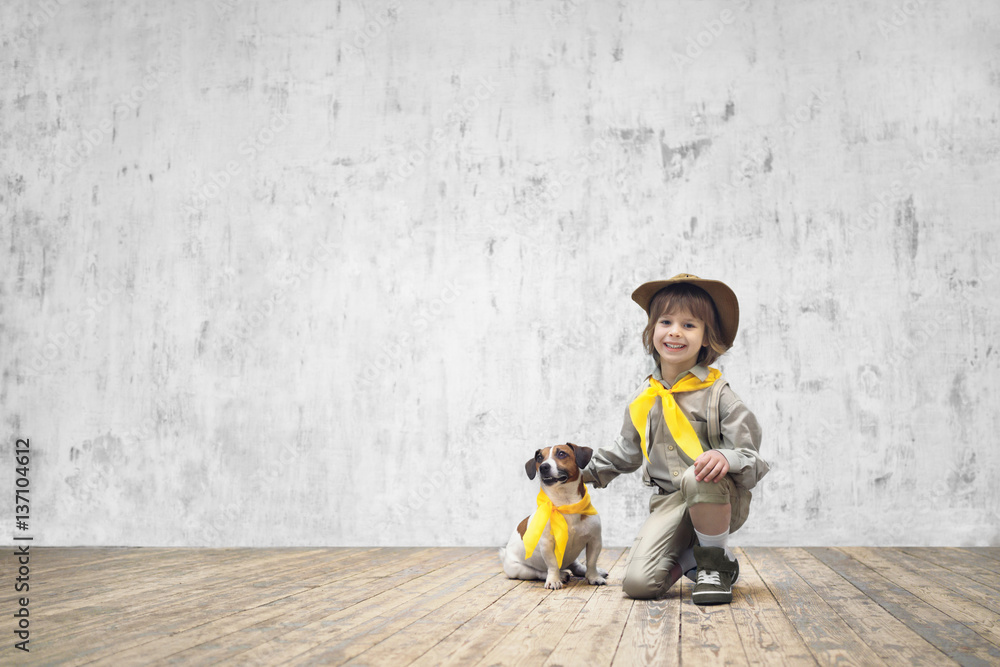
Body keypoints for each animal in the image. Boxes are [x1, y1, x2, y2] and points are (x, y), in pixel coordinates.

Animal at [500, 444, 608, 588]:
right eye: (539, 458)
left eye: (562, 453)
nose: (543, 467)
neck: (565, 504)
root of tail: (505, 555)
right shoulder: (547, 544)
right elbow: (552, 565)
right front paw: (554, 580)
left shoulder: (594, 540)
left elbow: (591, 562)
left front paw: (594, 577)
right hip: (519, 569)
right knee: (539, 573)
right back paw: (560, 575)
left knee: (576, 566)